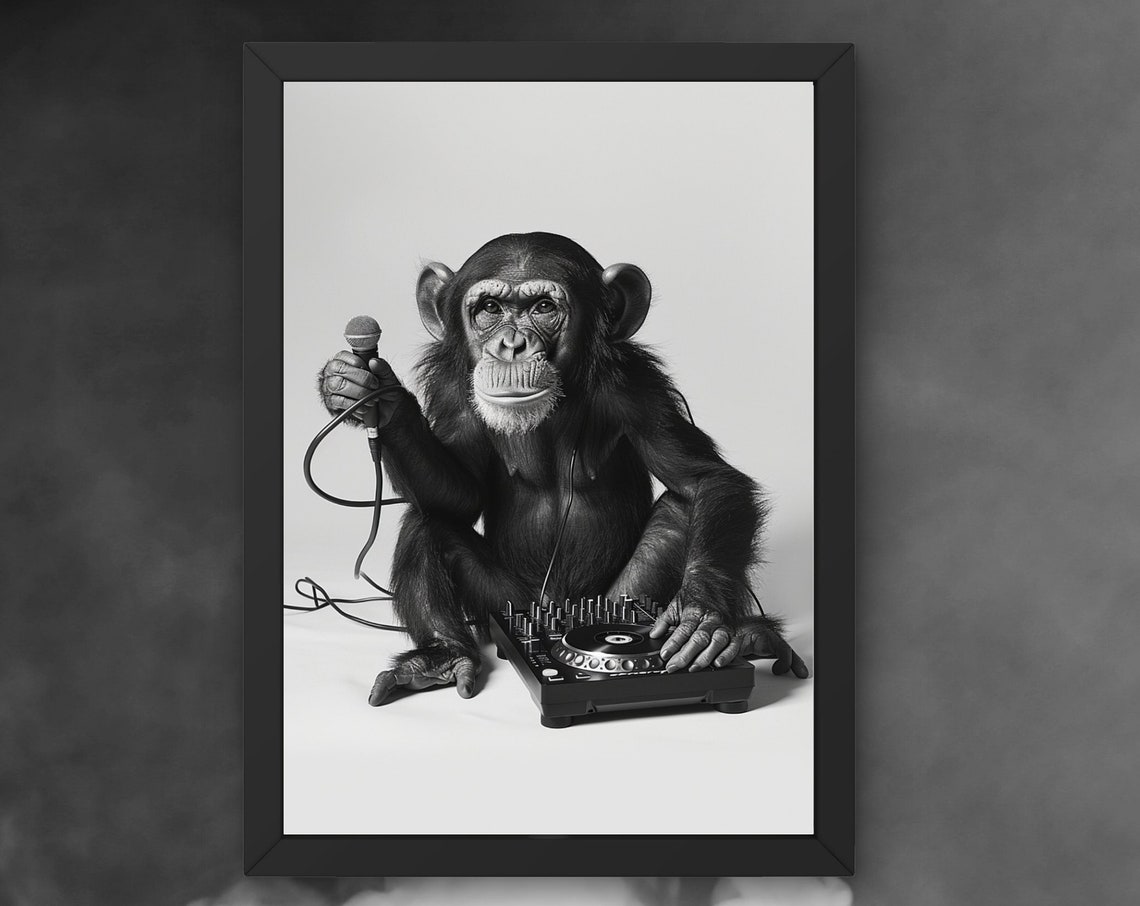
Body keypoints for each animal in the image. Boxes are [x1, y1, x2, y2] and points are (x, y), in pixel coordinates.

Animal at [318, 233, 808, 706]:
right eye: (490, 309)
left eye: (543, 308)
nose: (512, 345)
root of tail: (556, 606)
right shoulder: (453, 392)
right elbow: (459, 495)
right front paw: (371, 392)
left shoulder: (638, 388)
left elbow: (705, 479)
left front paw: (700, 618)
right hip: (507, 603)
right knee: (427, 522)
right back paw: (440, 657)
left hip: (621, 598)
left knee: (683, 509)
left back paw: (750, 636)